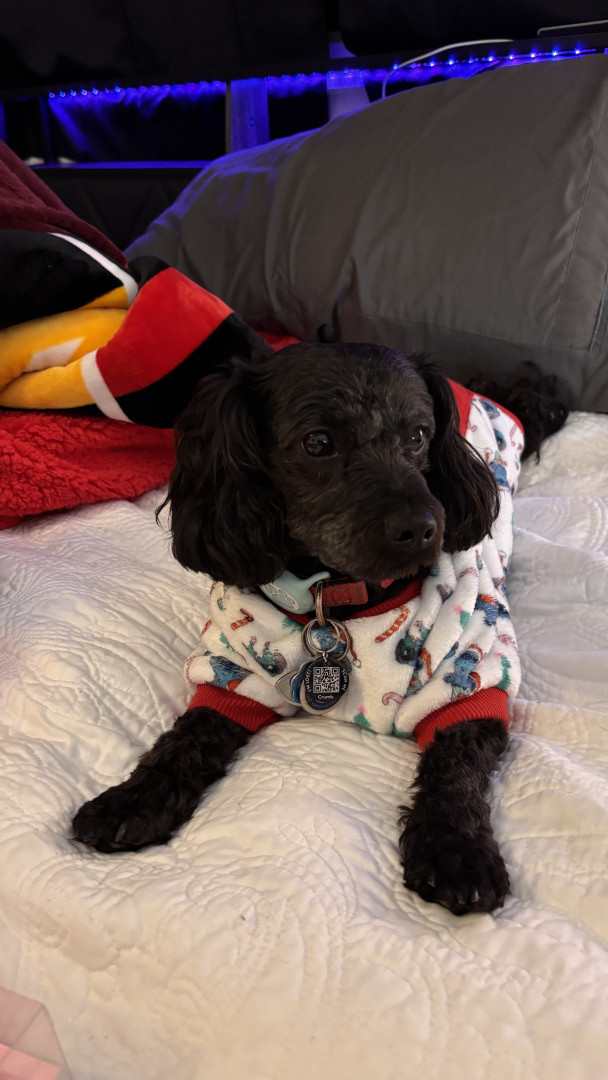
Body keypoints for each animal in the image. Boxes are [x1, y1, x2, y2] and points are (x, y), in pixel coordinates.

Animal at [72, 344, 568, 915]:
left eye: (419, 435)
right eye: (318, 443)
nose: (422, 528)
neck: (338, 599)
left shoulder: (468, 673)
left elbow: (457, 769)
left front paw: (457, 850)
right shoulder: (233, 671)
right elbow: (184, 739)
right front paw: (131, 800)